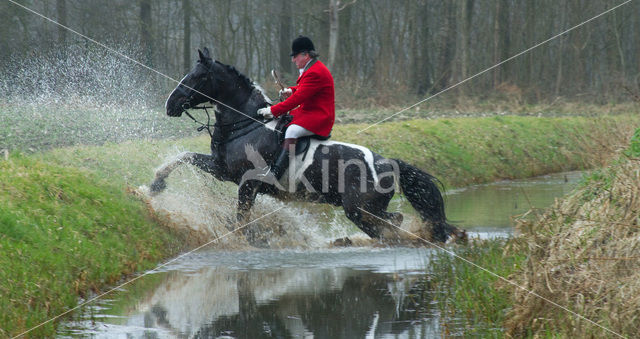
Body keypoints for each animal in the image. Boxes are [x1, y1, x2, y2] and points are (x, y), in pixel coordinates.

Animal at [155, 47, 464, 244]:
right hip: (367, 210)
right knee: (392, 222)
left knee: (390, 225)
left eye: (196, 77)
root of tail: (388, 162)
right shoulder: (222, 169)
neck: (247, 124)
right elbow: (184, 156)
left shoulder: (247, 183)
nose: (170, 105)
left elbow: (241, 218)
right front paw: (157, 184)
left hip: (359, 210)